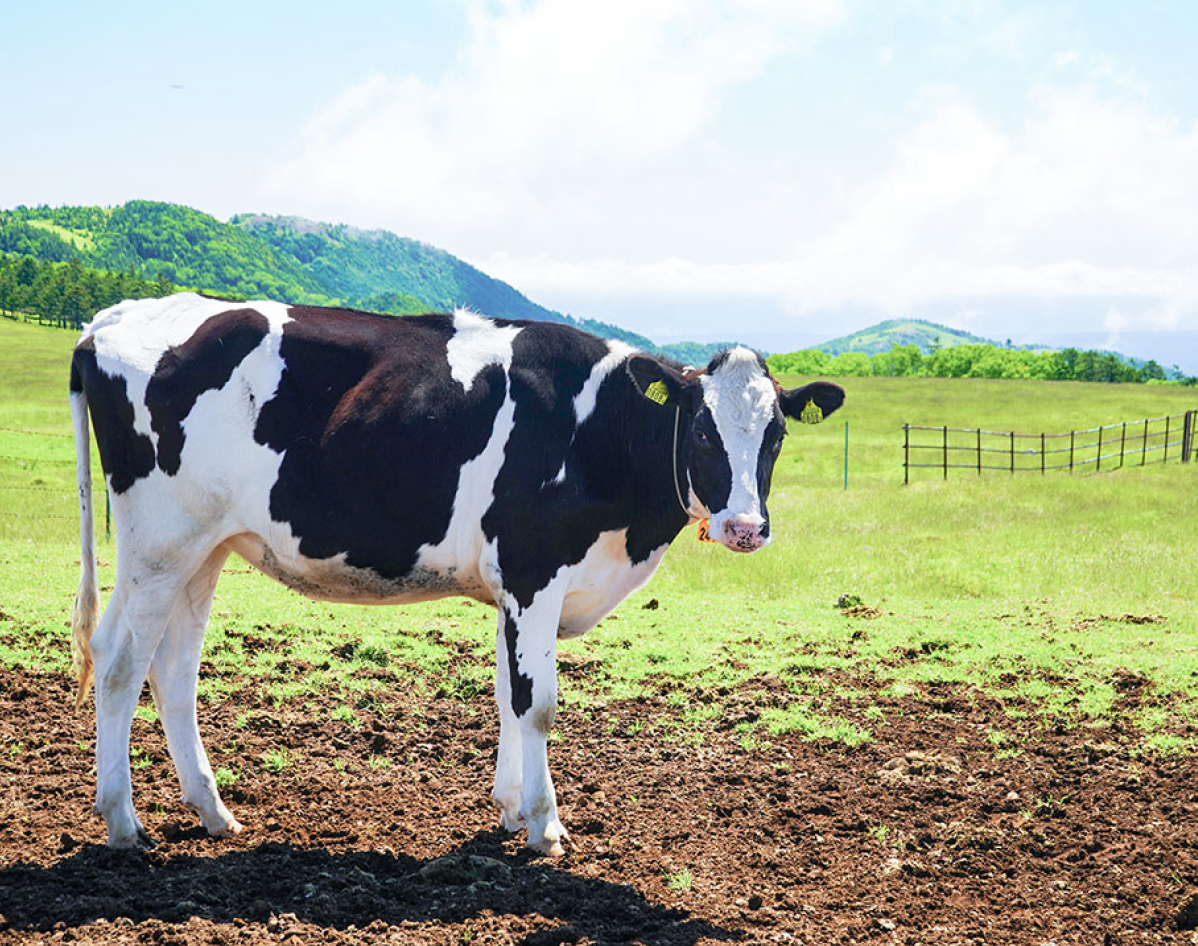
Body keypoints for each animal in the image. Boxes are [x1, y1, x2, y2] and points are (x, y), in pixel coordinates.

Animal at [72, 292, 843, 857]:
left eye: (776, 435)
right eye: (705, 430)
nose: (746, 526)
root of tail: (113, 318)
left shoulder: (514, 589)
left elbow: (507, 693)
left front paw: (510, 809)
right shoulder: (533, 571)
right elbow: (538, 703)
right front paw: (545, 826)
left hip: (205, 547)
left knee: (173, 670)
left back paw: (214, 814)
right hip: (158, 542)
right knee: (118, 660)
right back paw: (122, 823)